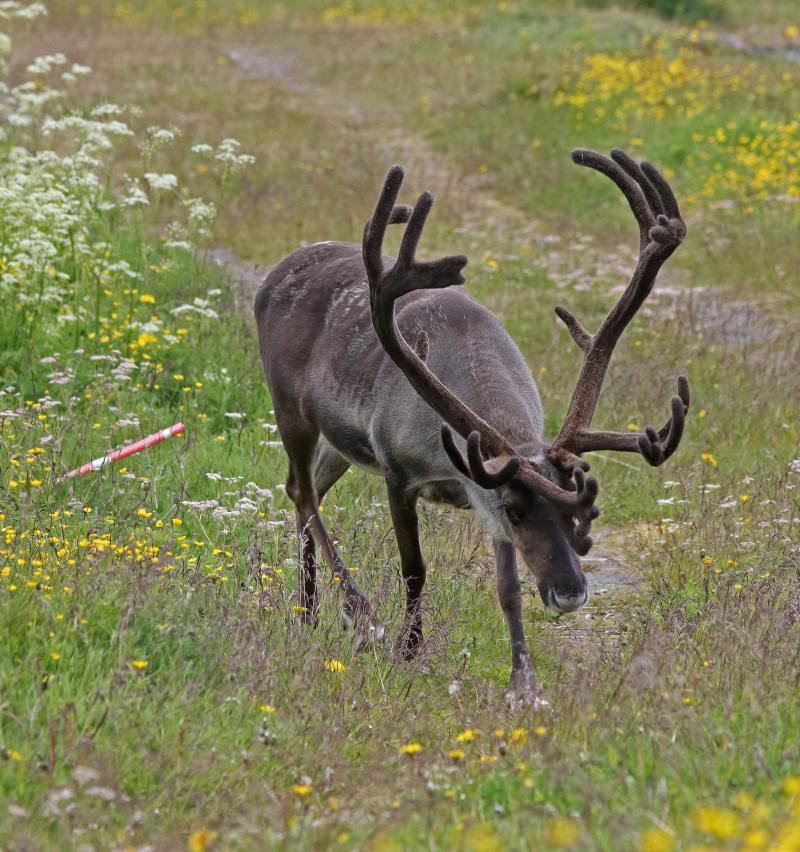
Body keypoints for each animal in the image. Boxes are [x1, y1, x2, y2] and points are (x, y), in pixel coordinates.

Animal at [256, 146, 688, 704]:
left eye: (577, 512)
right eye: (516, 510)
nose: (571, 592)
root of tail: (273, 275)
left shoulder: (483, 485)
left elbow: (508, 591)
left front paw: (523, 683)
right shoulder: (399, 471)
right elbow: (414, 570)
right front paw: (407, 650)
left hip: (340, 443)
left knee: (303, 492)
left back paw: (307, 614)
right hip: (290, 408)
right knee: (303, 492)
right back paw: (359, 614)